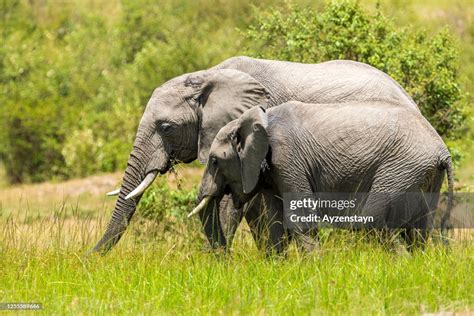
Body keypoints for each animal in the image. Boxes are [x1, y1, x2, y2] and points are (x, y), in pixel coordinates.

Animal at [189, 102, 452, 253]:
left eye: (214, 161)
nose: (227, 261)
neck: (258, 119)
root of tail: (442, 151)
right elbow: (275, 221)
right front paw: (277, 269)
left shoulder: (288, 158)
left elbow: (299, 217)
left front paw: (314, 266)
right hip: (424, 174)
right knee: (419, 228)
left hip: (400, 168)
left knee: (375, 219)